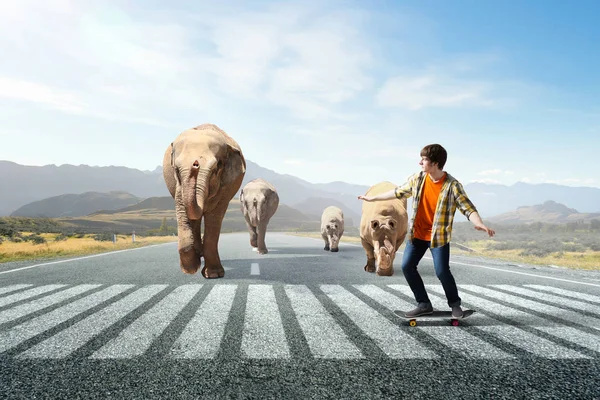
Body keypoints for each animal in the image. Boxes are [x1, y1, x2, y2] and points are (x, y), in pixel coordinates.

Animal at [162, 124, 246, 278]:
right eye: (176, 169)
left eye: (215, 168)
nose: (195, 165)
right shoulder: (178, 186)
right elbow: (184, 210)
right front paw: (191, 269)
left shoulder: (226, 187)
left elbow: (214, 217)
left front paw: (213, 275)